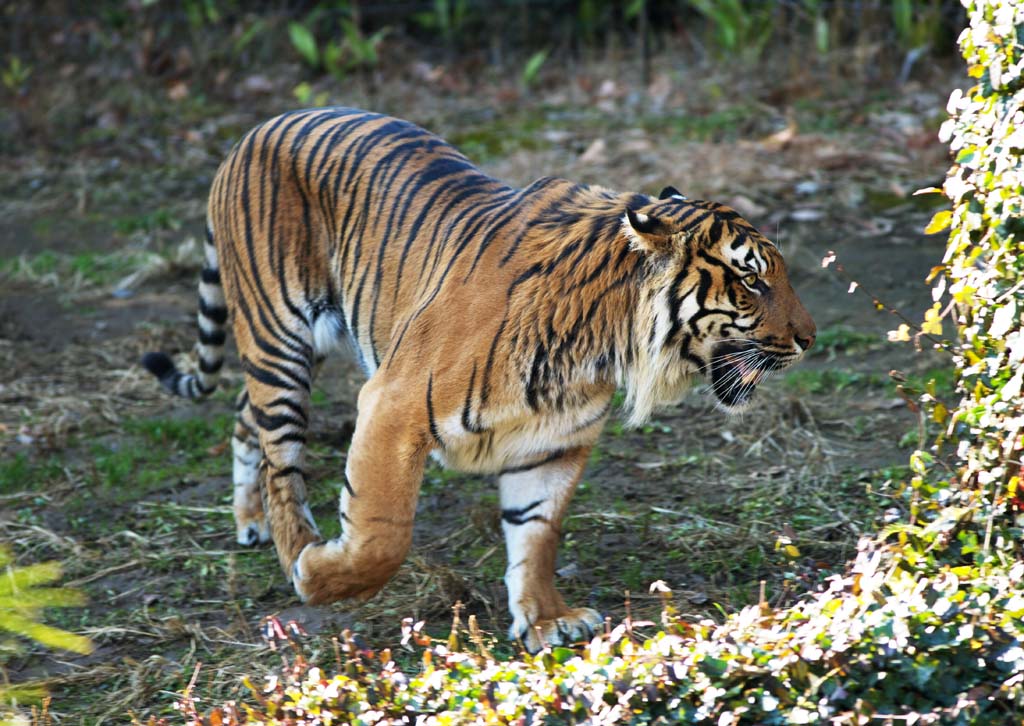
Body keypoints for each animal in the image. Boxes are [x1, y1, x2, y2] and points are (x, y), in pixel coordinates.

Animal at [144, 105, 815, 651]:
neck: (601, 344)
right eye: (752, 280)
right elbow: (383, 534)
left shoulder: (556, 440)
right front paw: (323, 575)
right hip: (278, 334)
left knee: (246, 416)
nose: (809, 338)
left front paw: (546, 620)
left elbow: (537, 535)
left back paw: (250, 522)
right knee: (280, 454)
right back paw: (294, 551)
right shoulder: (392, 403)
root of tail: (257, 129)